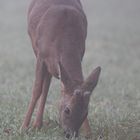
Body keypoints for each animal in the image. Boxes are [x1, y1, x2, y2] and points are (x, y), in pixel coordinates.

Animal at [20, 0, 101, 138]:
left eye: (86, 112)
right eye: (67, 110)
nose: (71, 134)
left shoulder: (81, 53)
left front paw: (89, 132)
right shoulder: (41, 55)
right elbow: (36, 90)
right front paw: (23, 127)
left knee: (47, 83)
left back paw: (38, 124)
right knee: (44, 86)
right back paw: (36, 124)